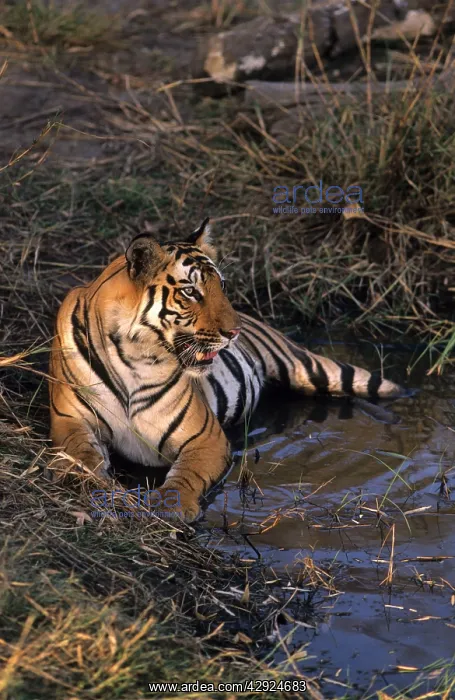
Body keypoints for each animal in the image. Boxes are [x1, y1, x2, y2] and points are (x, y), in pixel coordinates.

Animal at [49, 217, 404, 522]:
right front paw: (98, 487)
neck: (133, 358)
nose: (234, 333)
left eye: (221, 285)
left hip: (310, 368)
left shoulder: (206, 436)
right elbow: (83, 457)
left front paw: (170, 506)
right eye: (190, 291)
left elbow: (187, 475)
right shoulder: (70, 420)